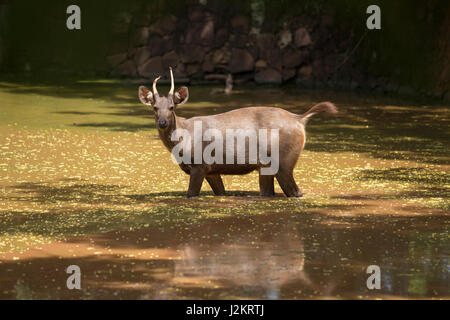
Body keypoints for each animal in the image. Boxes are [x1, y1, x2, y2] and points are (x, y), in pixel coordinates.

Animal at [138, 68, 338, 198]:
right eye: (155, 108)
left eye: (172, 107)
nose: (162, 123)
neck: (183, 138)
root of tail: (299, 119)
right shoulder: (211, 169)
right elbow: (221, 193)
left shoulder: (199, 165)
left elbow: (190, 194)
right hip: (267, 166)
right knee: (268, 193)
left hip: (284, 161)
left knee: (296, 192)